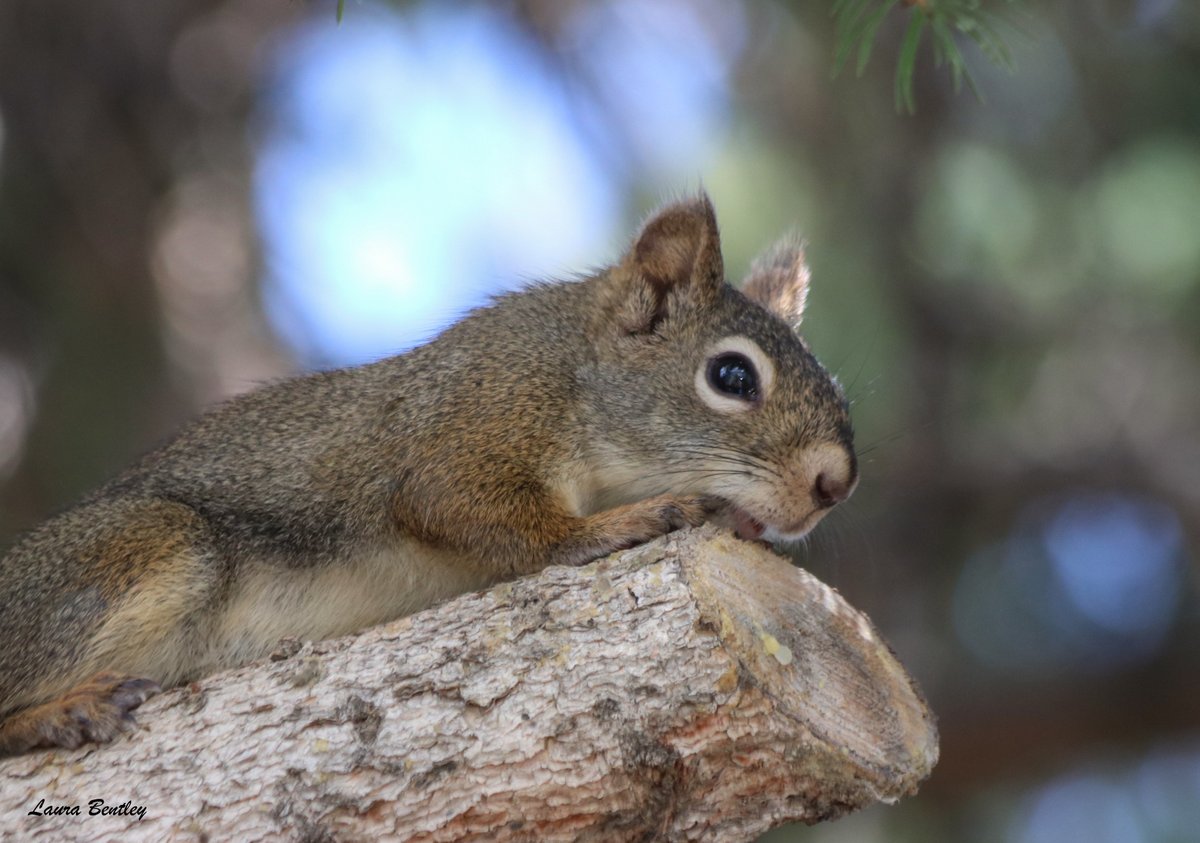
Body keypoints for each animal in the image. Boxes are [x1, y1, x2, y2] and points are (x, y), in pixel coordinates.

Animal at [4, 194, 859, 754]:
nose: (835, 485)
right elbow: (484, 513)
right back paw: (60, 711)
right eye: (732, 376)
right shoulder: (473, 421)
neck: (572, 369)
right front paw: (631, 519)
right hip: (145, 544)